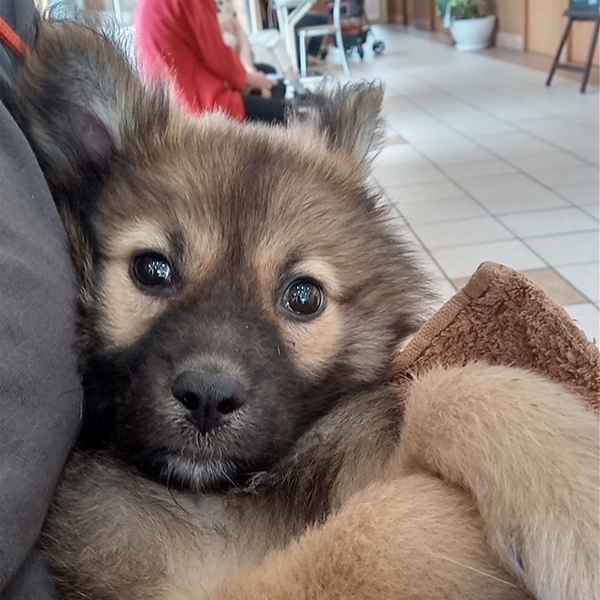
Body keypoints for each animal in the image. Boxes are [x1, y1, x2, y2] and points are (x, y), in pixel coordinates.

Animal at [12, 18, 597, 600]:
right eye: (152, 270)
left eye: (303, 296)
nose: (208, 398)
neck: (228, 489)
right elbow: (371, 538)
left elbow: (458, 387)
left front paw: (577, 506)